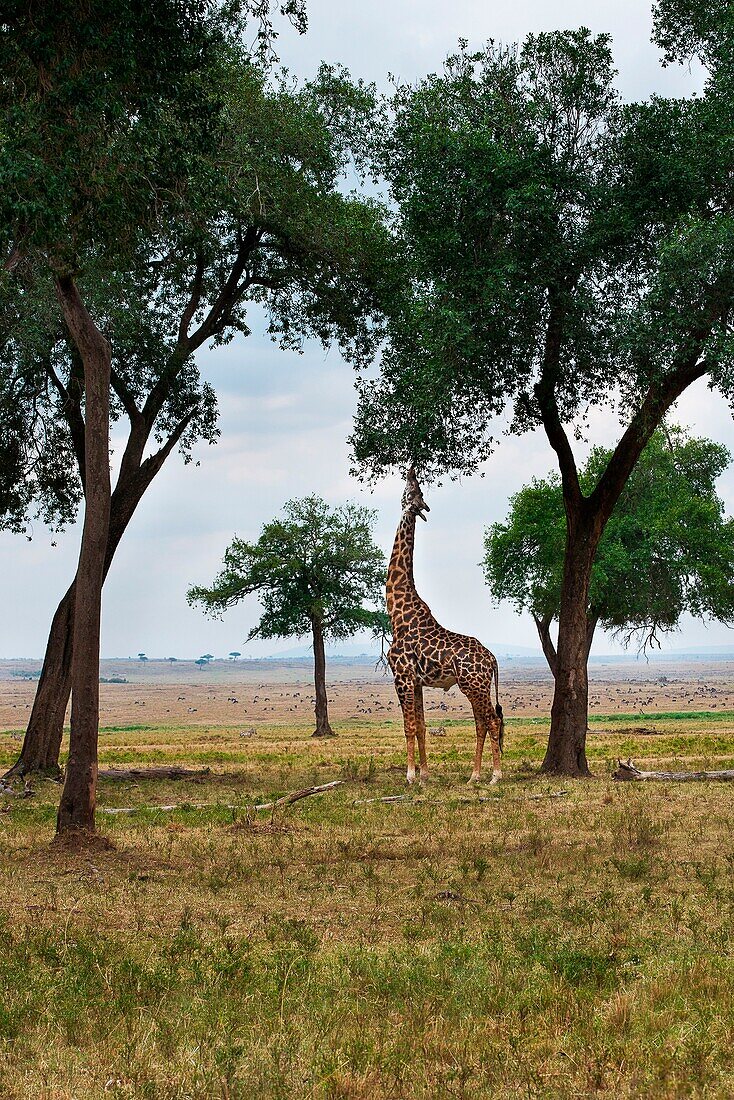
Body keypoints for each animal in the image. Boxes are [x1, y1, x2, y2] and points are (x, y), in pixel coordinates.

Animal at [385, 468, 506, 787]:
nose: (410, 468)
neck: (396, 612)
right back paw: (474, 776)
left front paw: (410, 776)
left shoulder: (402, 676)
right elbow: (421, 726)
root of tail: (492, 658)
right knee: (482, 722)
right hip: (477, 686)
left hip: (473, 684)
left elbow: (408, 726)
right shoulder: (416, 681)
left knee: (491, 720)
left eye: (413, 490)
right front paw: (425, 775)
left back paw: (495, 776)